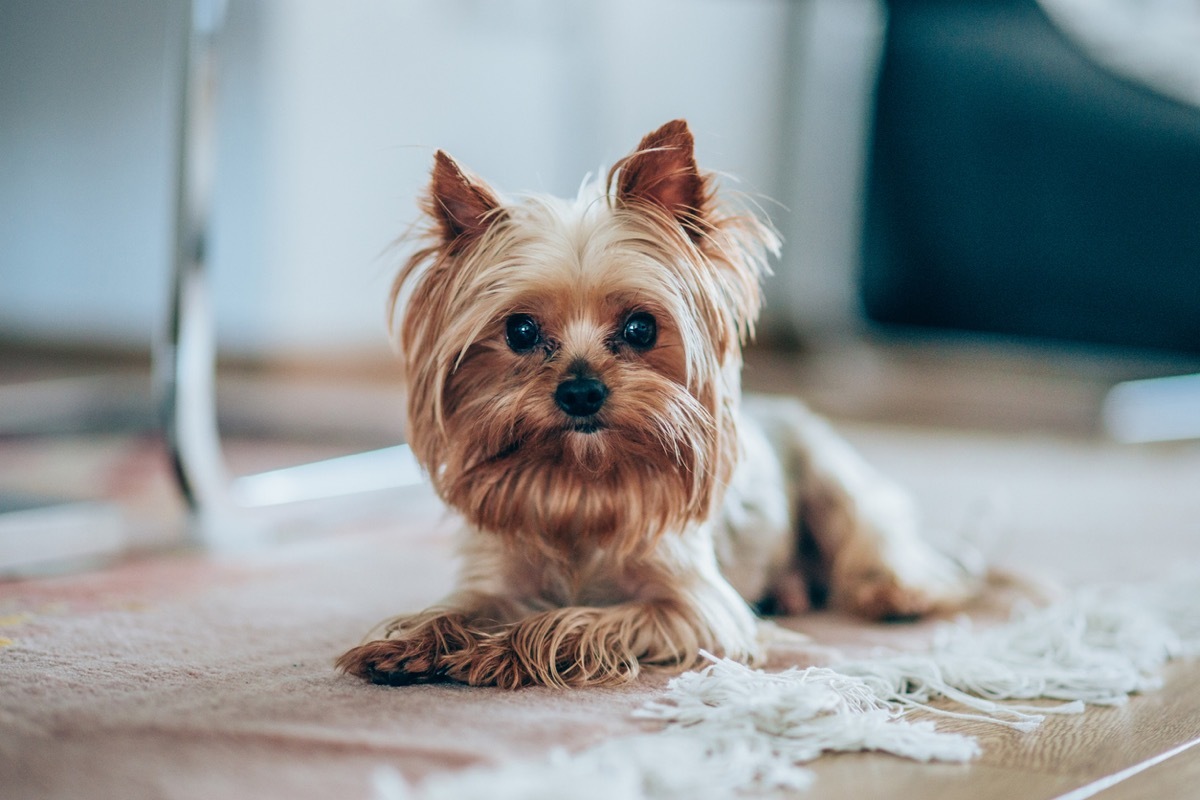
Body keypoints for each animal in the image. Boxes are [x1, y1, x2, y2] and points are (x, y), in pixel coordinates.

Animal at [338, 118, 974, 690]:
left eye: (641, 328)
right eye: (519, 331)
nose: (580, 391)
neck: (582, 485)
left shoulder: (694, 612)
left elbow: (573, 622)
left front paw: (502, 651)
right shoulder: (495, 577)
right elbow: (455, 608)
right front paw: (410, 643)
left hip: (833, 481)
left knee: (881, 542)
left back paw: (895, 593)